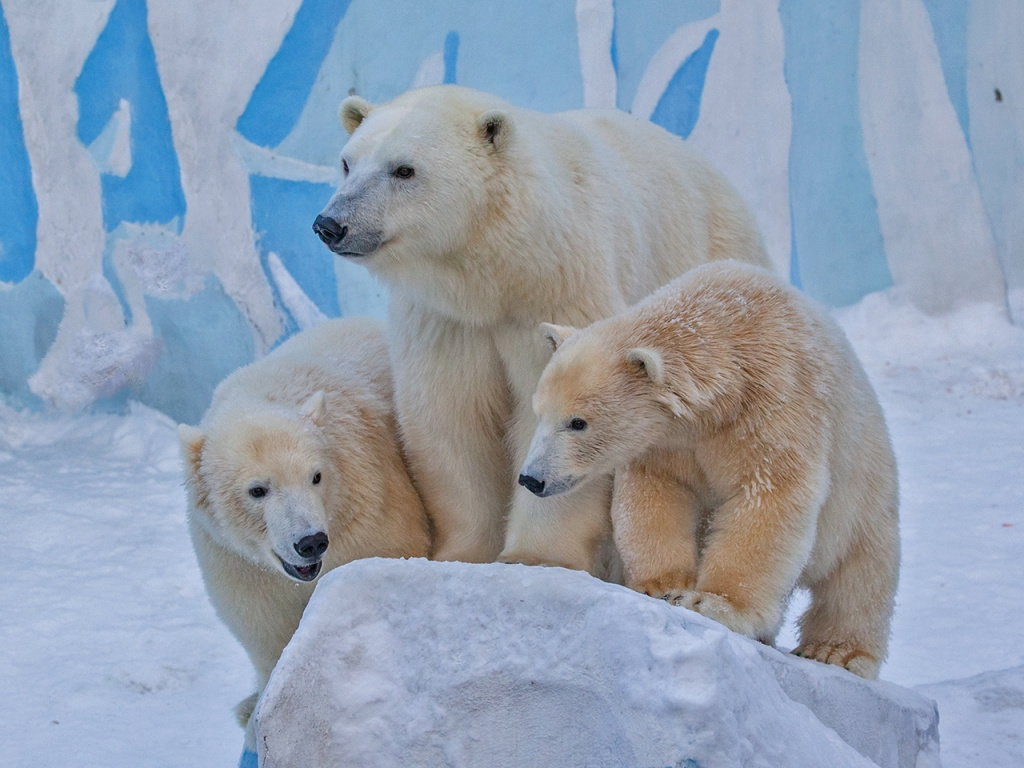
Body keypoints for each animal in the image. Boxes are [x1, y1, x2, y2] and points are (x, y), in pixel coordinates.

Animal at [315, 85, 770, 577]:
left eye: (403, 169)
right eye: (347, 162)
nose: (330, 224)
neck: (503, 271)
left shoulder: (562, 293)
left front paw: (534, 556)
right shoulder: (447, 323)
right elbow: (452, 419)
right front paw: (462, 554)